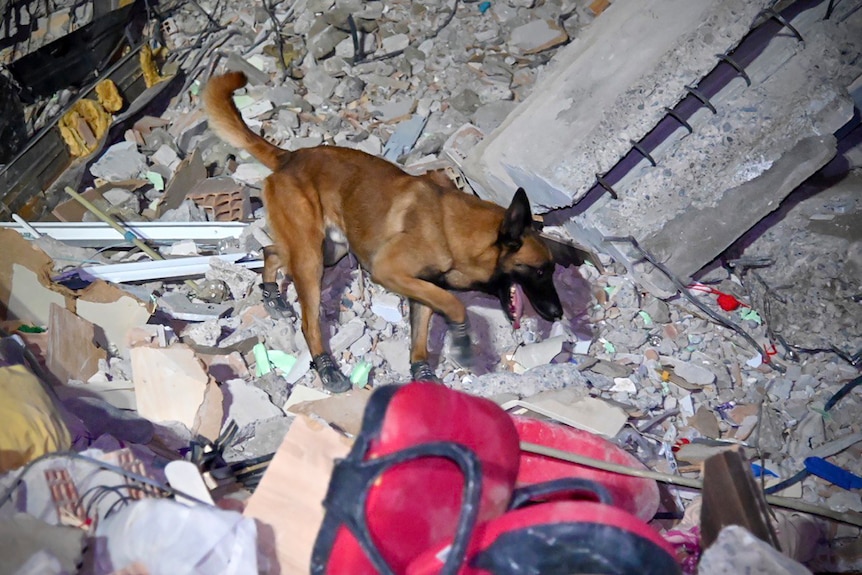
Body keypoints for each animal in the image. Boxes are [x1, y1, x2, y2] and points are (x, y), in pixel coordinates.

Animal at [202, 72, 568, 392]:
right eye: (540, 271)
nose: (558, 313)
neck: (452, 227)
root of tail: (289, 156)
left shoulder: (421, 287)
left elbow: (422, 333)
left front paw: (423, 373)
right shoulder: (390, 272)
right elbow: (454, 304)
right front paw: (463, 339)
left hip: (329, 250)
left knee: (273, 251)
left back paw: (271, 294)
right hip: (312, 259)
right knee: (309, 321)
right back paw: (326, 366)